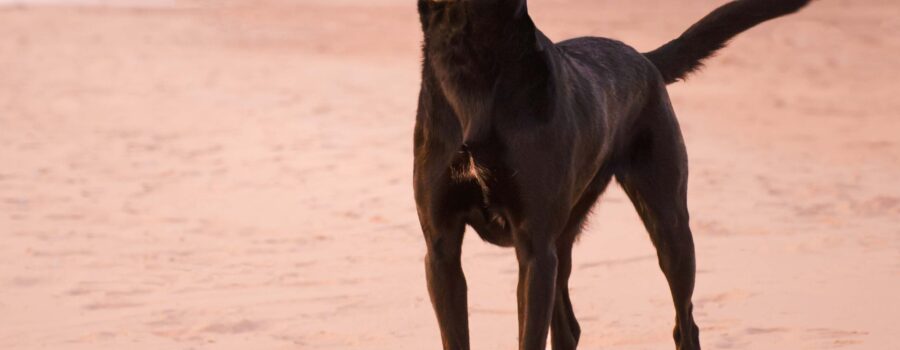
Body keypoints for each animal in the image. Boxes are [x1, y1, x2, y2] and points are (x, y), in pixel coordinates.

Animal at [414, 1, 808, 348]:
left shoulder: (534, 247)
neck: (469, 61)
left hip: (668, 225)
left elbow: (530, 338)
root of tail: (644, 58)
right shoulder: (442, 249)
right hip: (562, 243)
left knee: (685, 325)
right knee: (569, 329)